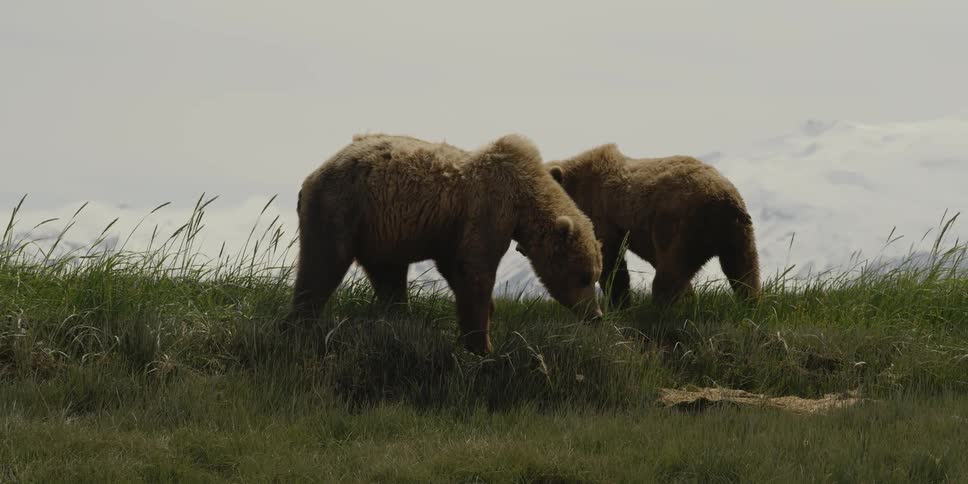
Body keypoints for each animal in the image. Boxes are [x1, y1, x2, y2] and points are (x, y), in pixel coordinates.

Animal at [291, 133, 603, 354]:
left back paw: (398, 324)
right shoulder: (489, 209)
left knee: (389, 279)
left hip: (380, 232)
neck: (524, 199)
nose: (597, 315)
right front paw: (482, 346)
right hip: (342, 208)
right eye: (585, 276)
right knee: (321, 267)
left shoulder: (452, 232)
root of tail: (312, 176)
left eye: (595, 274)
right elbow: (474, 270)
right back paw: (299, 326)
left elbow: (456, 269)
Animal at [542, 144, 760, 309]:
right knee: (744, 271)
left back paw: (658, 310)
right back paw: (751, 303)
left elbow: (612, 265)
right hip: (738, 234)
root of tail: (723, 198)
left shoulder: (601, 216)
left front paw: (619, 304)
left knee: (670, 273)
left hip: (681, 226)